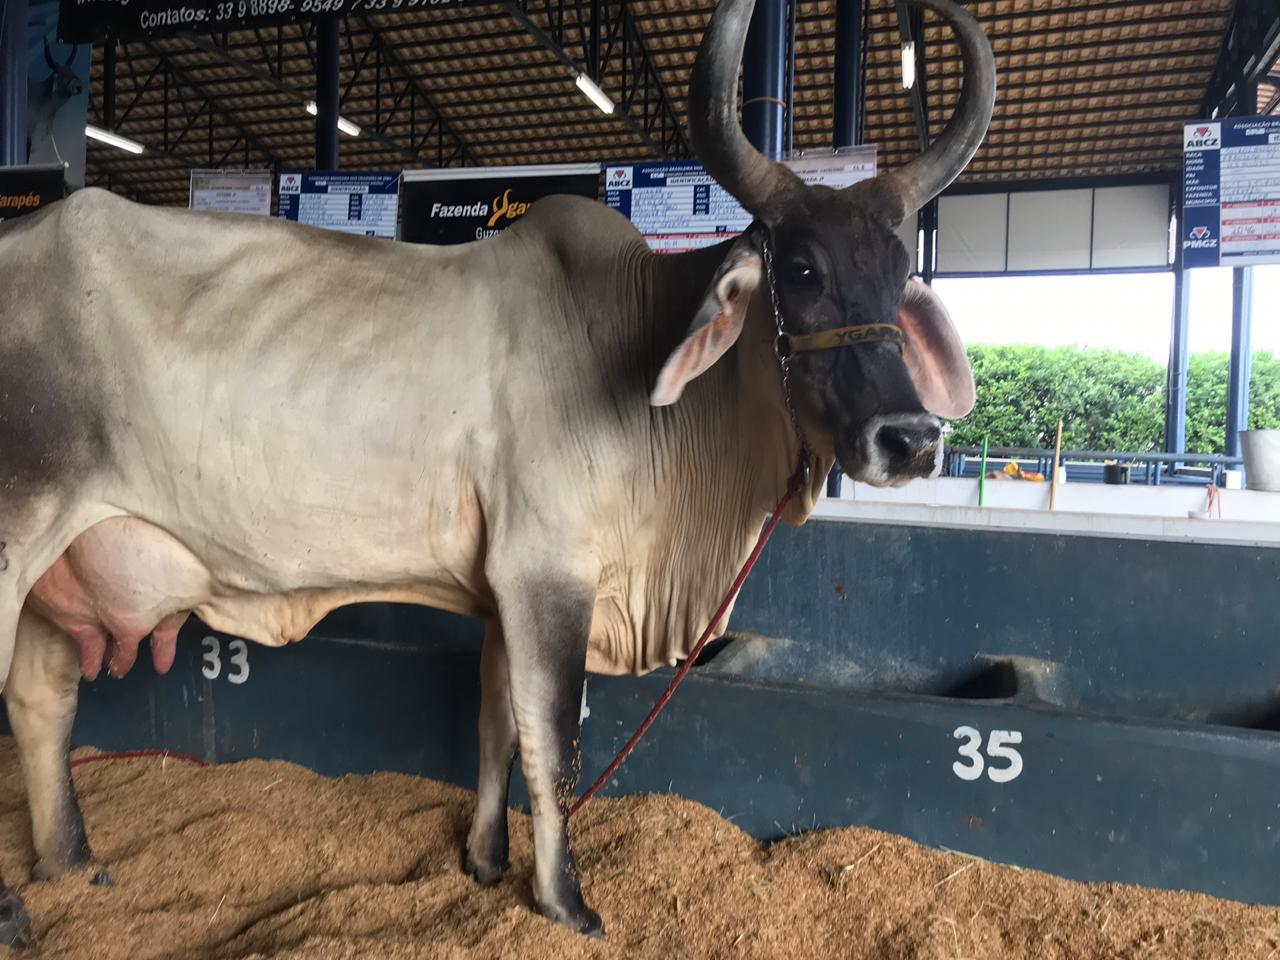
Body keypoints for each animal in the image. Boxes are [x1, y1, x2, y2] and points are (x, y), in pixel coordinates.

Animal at [0, 0, 993, 947]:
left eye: (901, 271)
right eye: (803, 269)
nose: (911, 438)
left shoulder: (500, 585)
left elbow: (494, 726)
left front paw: (483, 861)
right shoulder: (546, 570)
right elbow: (552, 743)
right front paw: (563, 901)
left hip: (59, 557)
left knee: (42, 700)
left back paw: (71, 863)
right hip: (15, 536)